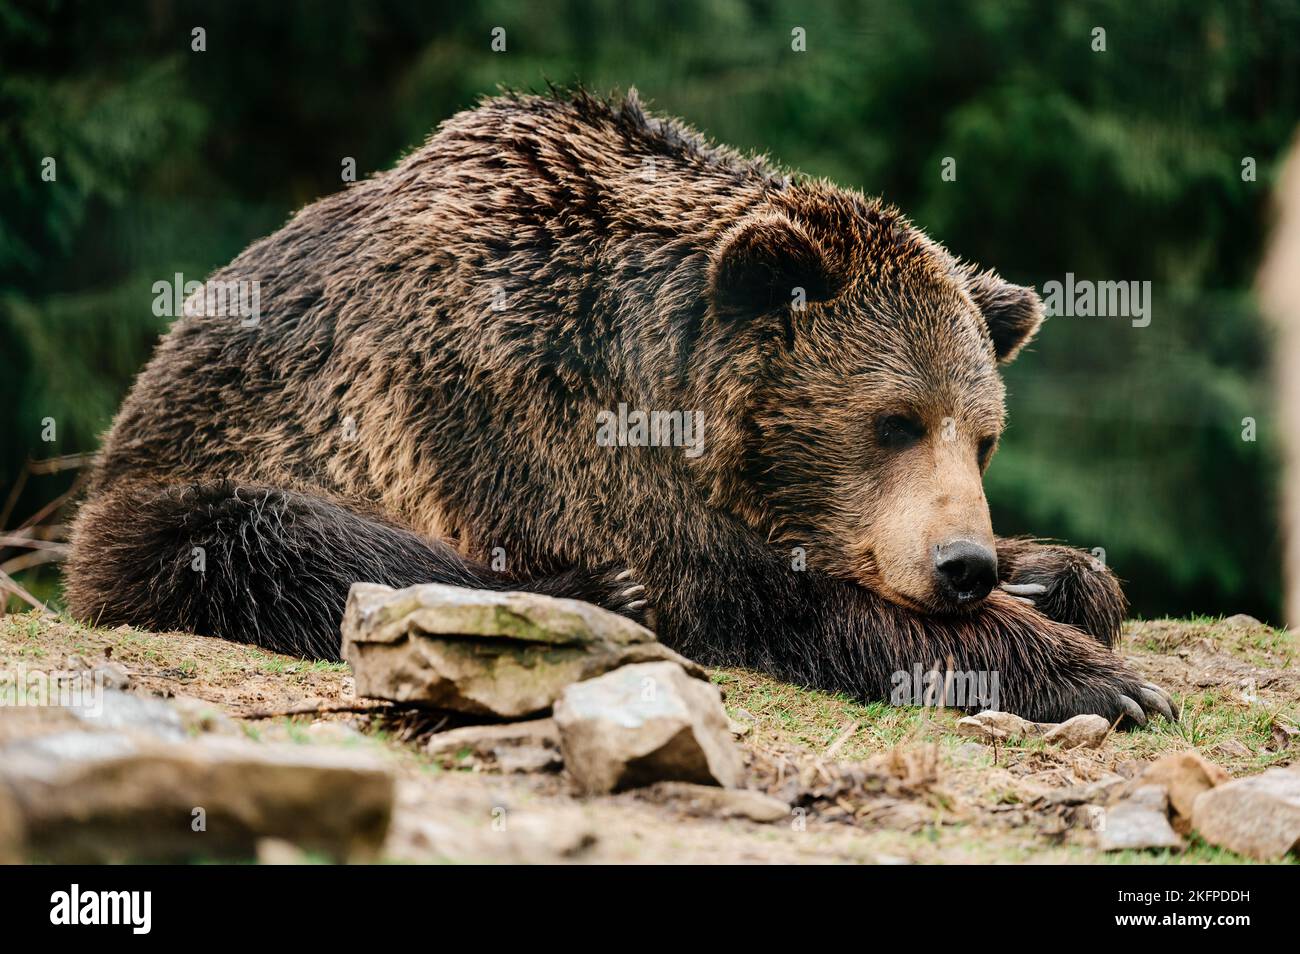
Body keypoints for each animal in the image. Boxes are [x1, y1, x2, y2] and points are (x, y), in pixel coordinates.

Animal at [63, 89, 1180, 722]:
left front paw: (1058, 578)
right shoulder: (527, 408)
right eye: (891, 420)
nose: (963, 566)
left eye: (981, 437)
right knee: (285, 544)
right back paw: (596, 594)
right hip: (200, 472)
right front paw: (1104, 680)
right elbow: (750, 595)